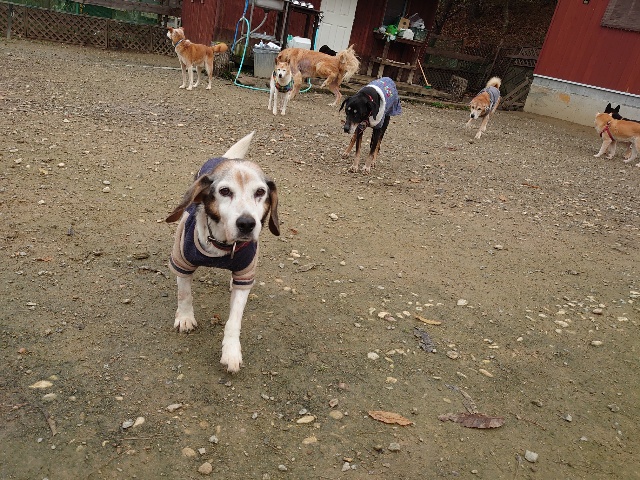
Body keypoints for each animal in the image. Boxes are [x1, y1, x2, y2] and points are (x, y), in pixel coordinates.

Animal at [166, 132, 280, 373]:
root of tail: (225, 158)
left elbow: (234, 320)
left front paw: (231, 351)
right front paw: (185, 317)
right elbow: (184, 294)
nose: (246, 223)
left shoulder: (246, 273)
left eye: (260, 192)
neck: (223, 244)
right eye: (224, 191)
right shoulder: (182, 261)